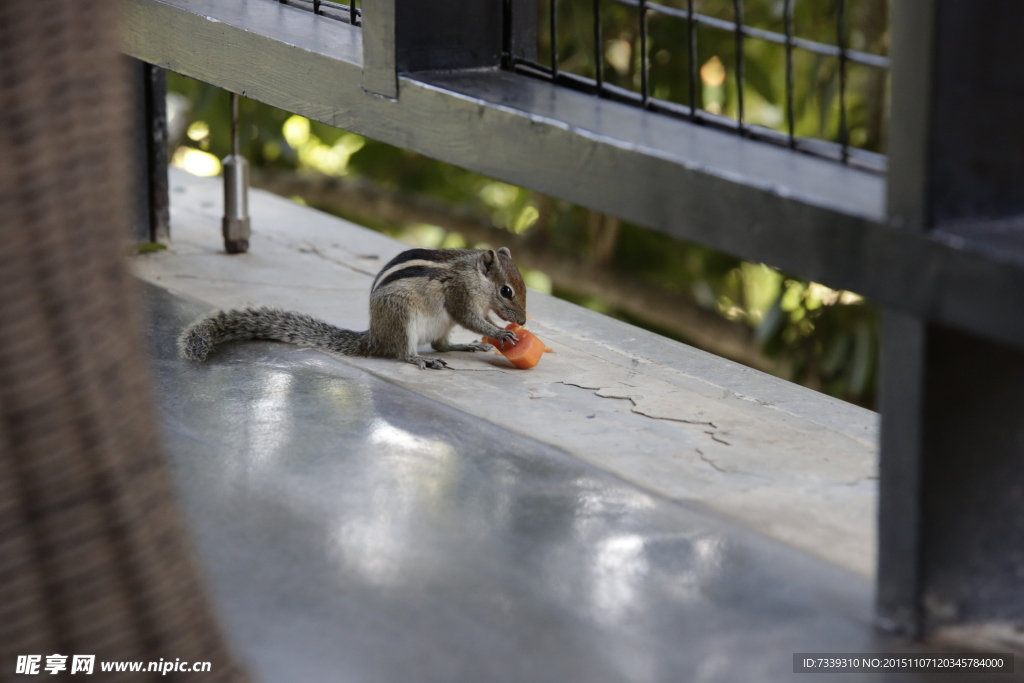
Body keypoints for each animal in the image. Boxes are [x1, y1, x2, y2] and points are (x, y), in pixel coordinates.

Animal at [178, 246, 528, 368]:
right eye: (506, 291)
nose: (523, 322)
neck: (474, 275)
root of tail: (374, 337)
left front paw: (492, 335)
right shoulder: (460, 296)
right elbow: (469, 318)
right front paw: (502, 334)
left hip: (437, 326)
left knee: (442, 344)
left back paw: (464, 347)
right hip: (403, 317)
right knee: (403, 352)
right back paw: (419, 359)